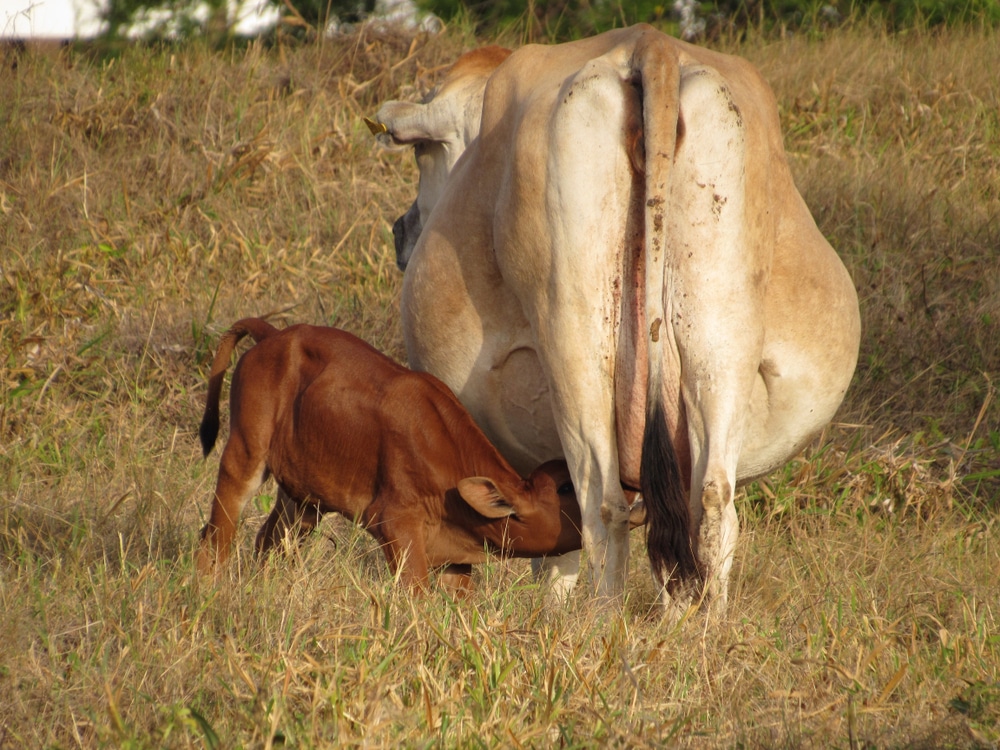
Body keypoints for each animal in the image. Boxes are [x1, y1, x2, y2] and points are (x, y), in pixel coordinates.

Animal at [195, 318, 584, 592]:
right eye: (565, 488)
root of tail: (275, 335)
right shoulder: (396, 523)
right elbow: (416, 595)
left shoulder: (454, 560)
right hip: (245, 451)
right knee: (216, 534)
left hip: (304, 499)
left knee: (269, 539)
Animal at [368, 27, 860, 616]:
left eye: (425, 155)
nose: (401, 229)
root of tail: (653, 45)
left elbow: (555, 549)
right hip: (722, 336)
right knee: (709, 501)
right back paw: (699, 627)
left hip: (573, 340)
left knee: (602, 506)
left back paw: (599, 624)